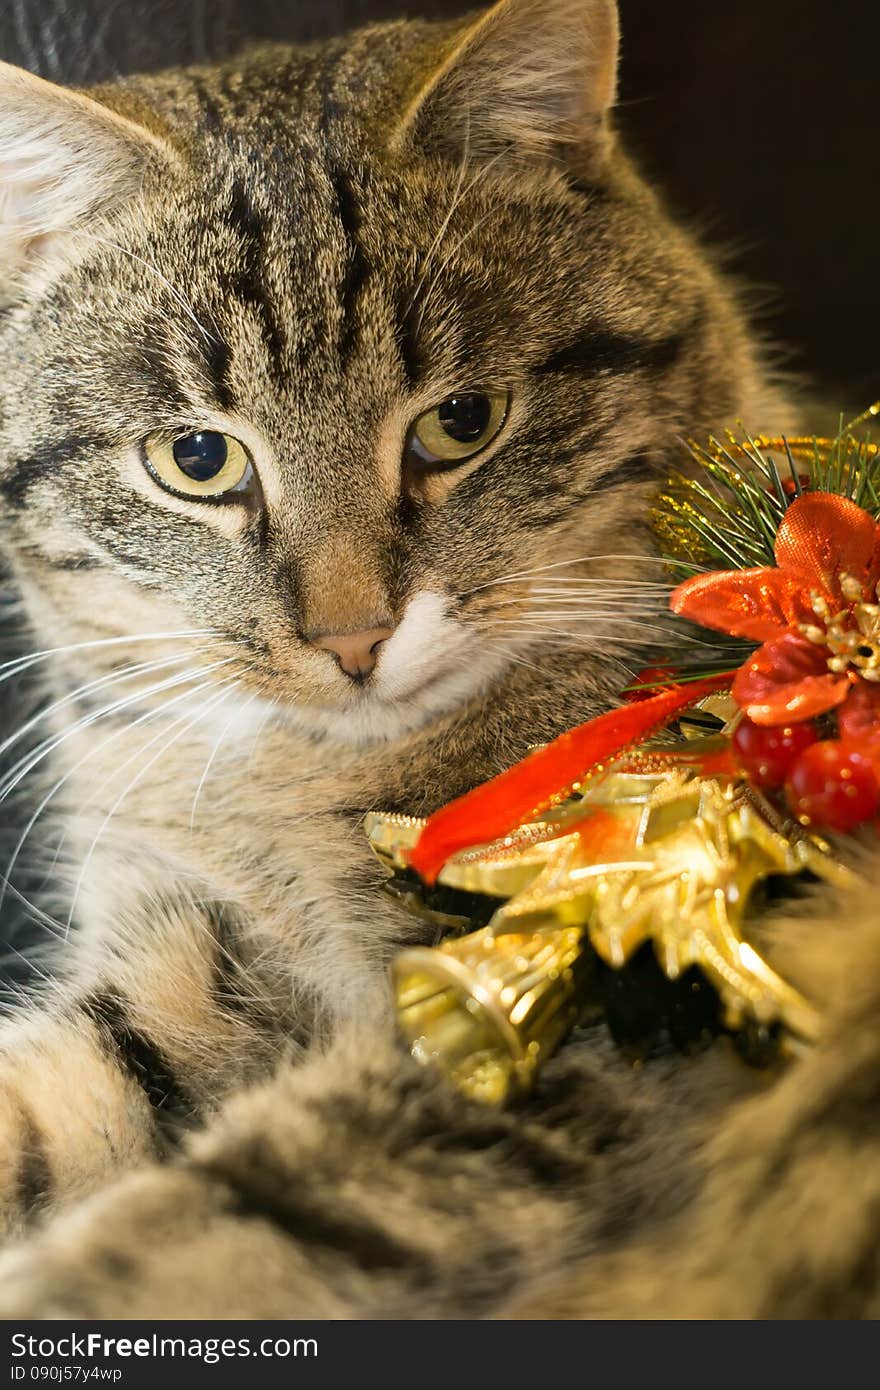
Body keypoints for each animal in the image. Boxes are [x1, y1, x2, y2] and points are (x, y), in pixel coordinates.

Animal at [0, 0, 873, 1317]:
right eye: (196, 457)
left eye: (461, 424)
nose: (351, 636)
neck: (285, 788)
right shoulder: (181, 974)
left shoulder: (561, 1008)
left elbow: (246, 1222)